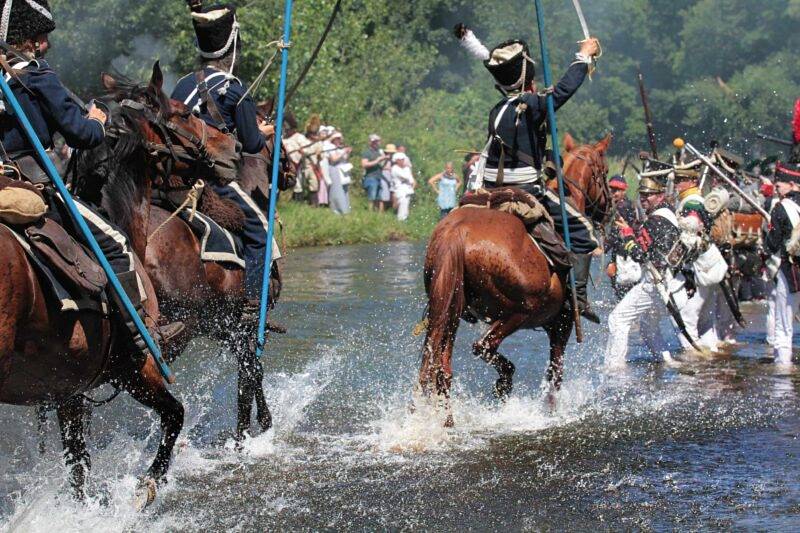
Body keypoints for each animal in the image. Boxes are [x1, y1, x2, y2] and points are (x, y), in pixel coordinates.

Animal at [0, 62, 241, 502]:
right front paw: (148, 485)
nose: (231, 149)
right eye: (183, 113)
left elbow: (78, 466)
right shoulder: (135, 368)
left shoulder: (69, 389)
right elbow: (175, 415)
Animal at [418, 133, 612, 424]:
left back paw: (448, 420)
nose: (609, 209)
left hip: (449, 309)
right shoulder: (562, 324)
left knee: (441, 367)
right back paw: (503, 383)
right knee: (482, 347)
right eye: (605, 171)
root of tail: (457, 232)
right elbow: (555, 375)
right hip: (519, 312)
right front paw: (550, 411)